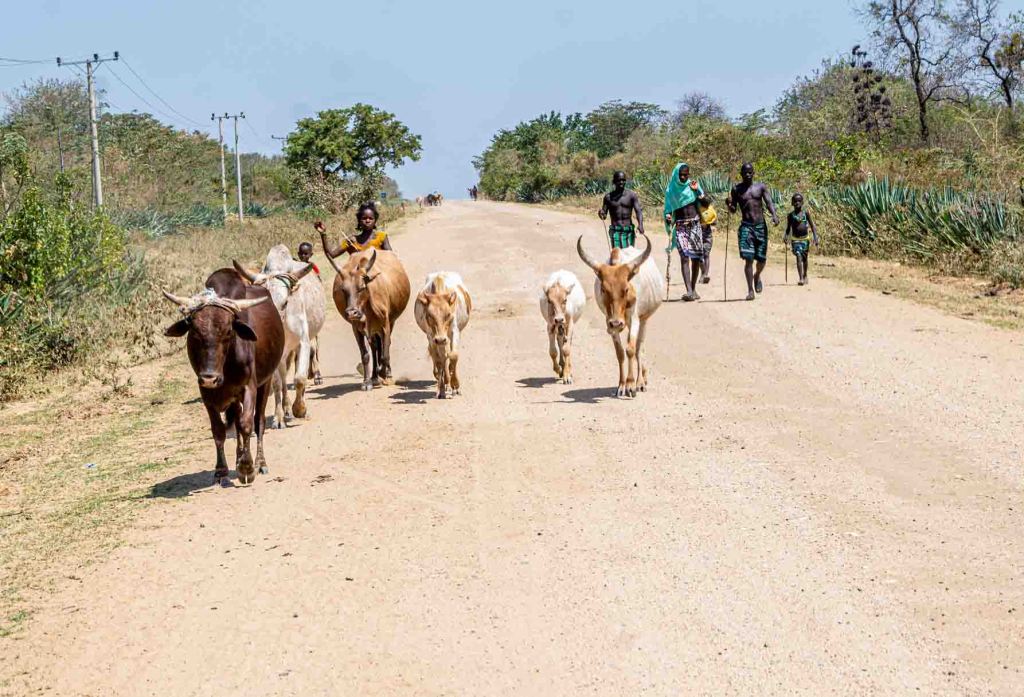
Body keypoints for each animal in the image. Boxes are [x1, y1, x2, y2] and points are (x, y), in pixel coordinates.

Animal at [162, 269, 285, 485]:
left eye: (228, 331)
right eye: (194, 332)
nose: (210, 378)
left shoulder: (249, 387)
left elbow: (247, 424)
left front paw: (247, 468)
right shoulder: (206, 393)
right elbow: (219, 430)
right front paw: (221, 470)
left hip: (266, 381)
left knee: (259, 421)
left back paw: (260, 463)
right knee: (235, 422)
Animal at [233, 244, 324, 429]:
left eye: (285, 302)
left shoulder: (303, 341)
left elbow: (300, 378)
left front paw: (300, 409)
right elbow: (276, 384)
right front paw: (279, 417)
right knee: (282, 379)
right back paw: (286, 409)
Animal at [325, 247, 410, 391]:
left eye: (362, 287)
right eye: (344, 290)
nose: (352, 313)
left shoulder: (385, 325)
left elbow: (385, 354)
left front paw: (384, 374)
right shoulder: (356, 328)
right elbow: (365, 354)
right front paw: (367, 381)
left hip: (390, 322)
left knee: (384, 346)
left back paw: (386, 374)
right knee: (375, 346)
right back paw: (374, 376)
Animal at [576, 235, 663, 398]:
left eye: (626, 289)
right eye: (604, 289)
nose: (617, 323)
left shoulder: (634, 319)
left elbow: (631, 350)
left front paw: (631, 384)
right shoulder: (609, 322)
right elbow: (620, 353)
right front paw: (622, 385)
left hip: (644, 319)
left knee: (639, 348)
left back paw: (641, 381)